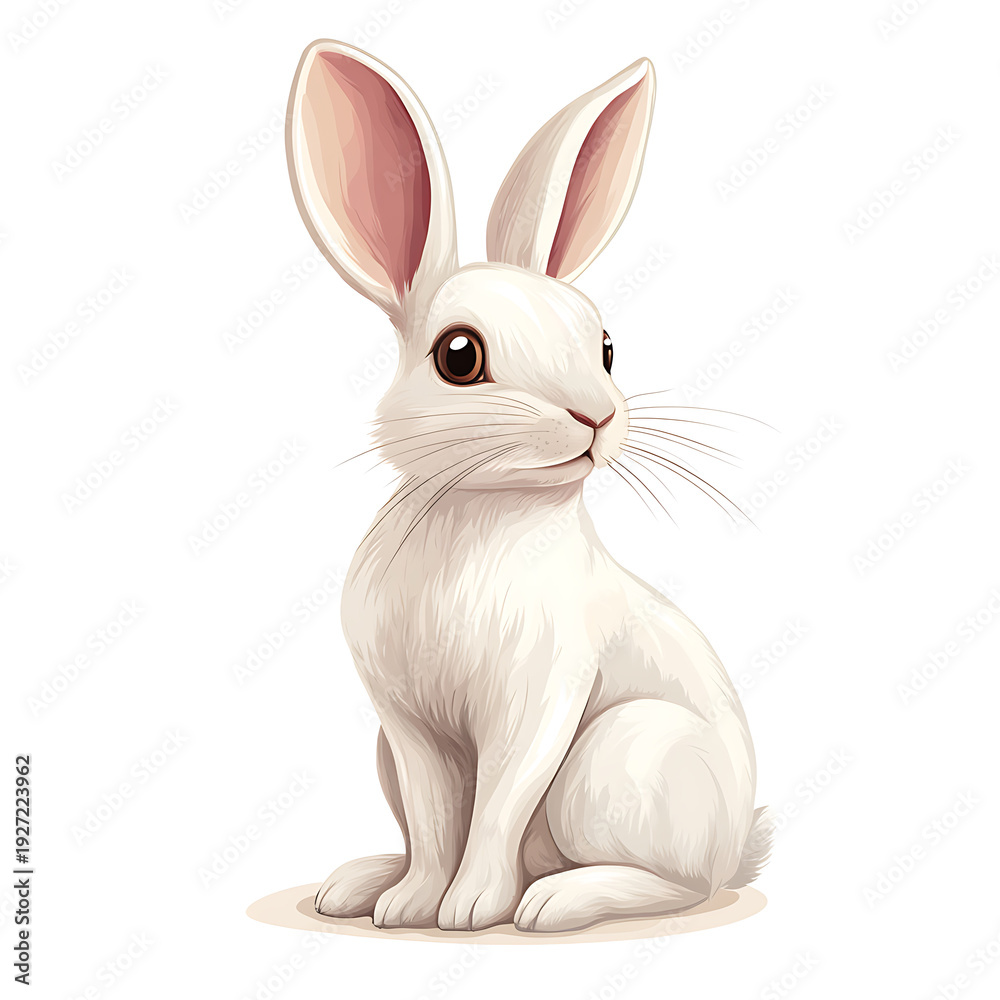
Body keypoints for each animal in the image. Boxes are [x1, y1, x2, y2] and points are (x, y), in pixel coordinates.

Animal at [286, 39, 772, 933]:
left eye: (605, 344)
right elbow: (437, 818)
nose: (597, 414)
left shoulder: (539, 701)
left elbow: (498, 806)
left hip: (620, 758)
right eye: (459, 356)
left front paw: (471, 909)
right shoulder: (408, 729)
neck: (482, 511)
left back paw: (552, 901)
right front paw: (411, 906)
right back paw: (360, 885)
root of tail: (737, 847)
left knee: (676, 885)